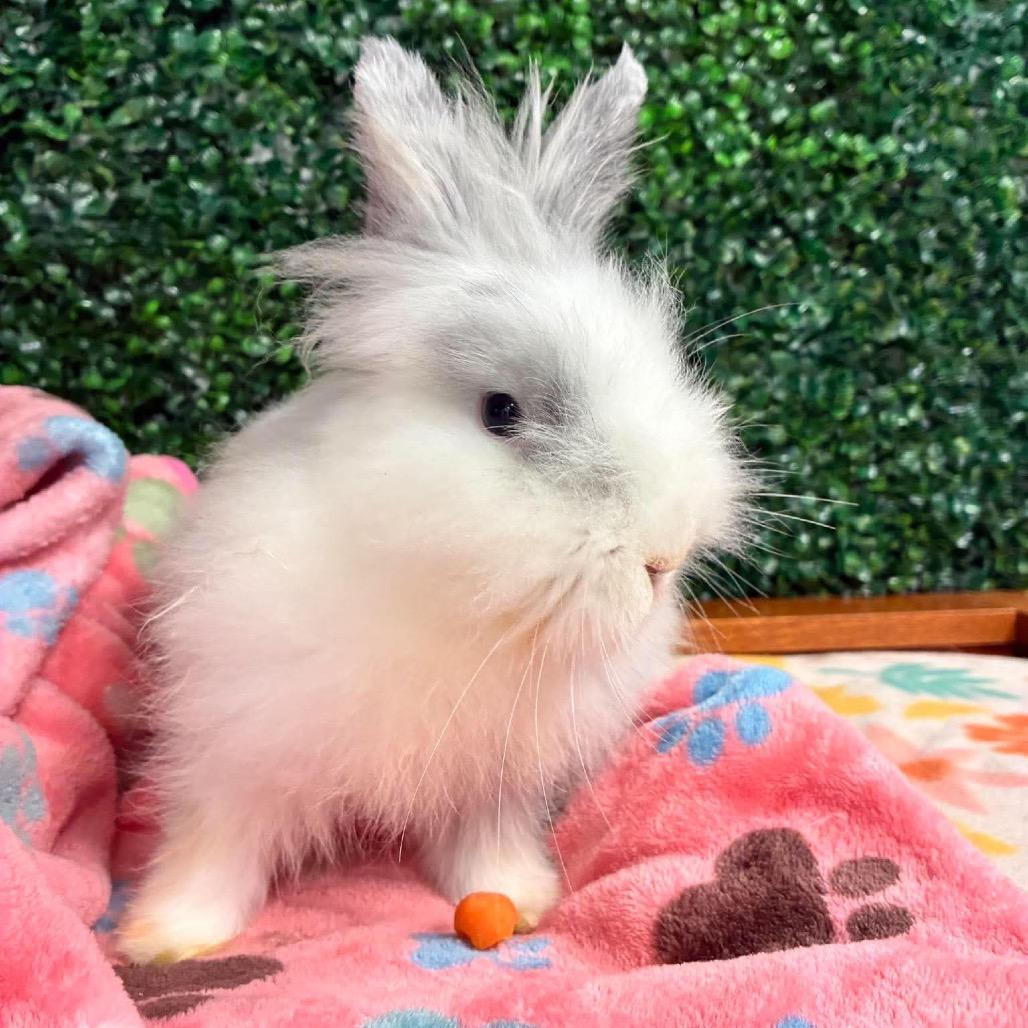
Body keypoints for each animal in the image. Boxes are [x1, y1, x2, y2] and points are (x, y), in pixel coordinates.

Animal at [118, 36, 750, 964]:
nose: (661, 555)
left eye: (670, 373)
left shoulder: (496, 774)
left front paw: (519, 895)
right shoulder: (234, 737)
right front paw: (166, 938)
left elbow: (486, 843)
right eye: (501, 412)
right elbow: (215, 842)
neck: (450, 602)